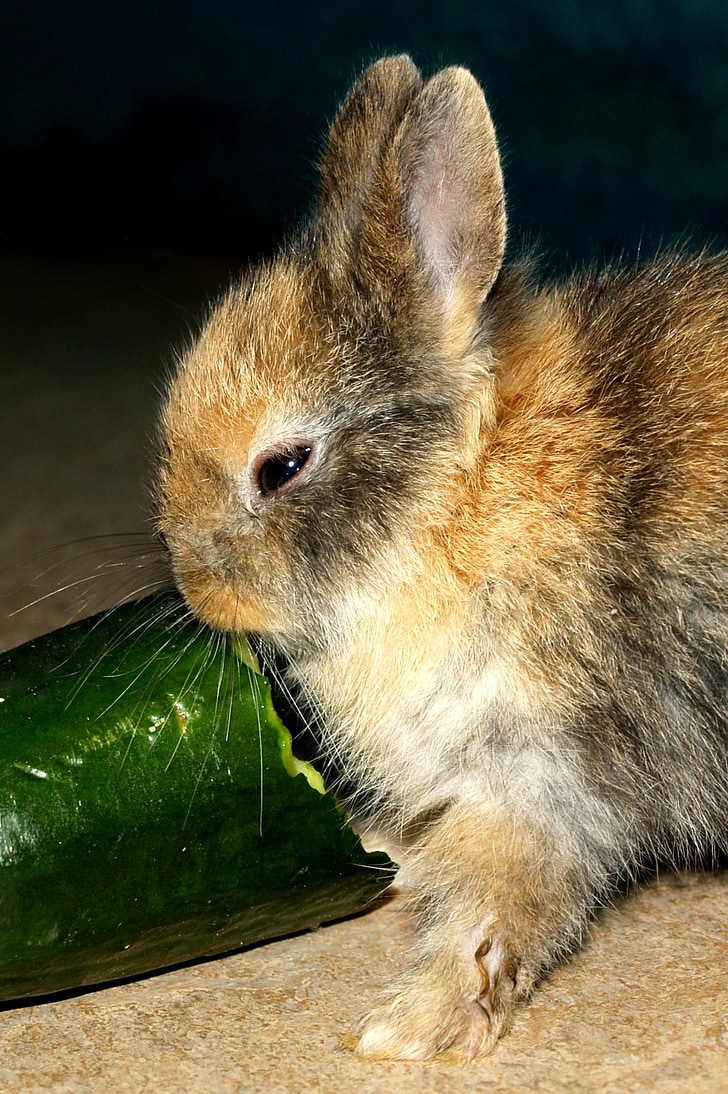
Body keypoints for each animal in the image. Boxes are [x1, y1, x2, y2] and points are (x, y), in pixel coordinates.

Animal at [156, 55, 726, 1063]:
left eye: (282, 466)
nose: (197, 589)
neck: (453, 506)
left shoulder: (539, 774)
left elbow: (495, 911)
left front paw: (405, 1031)